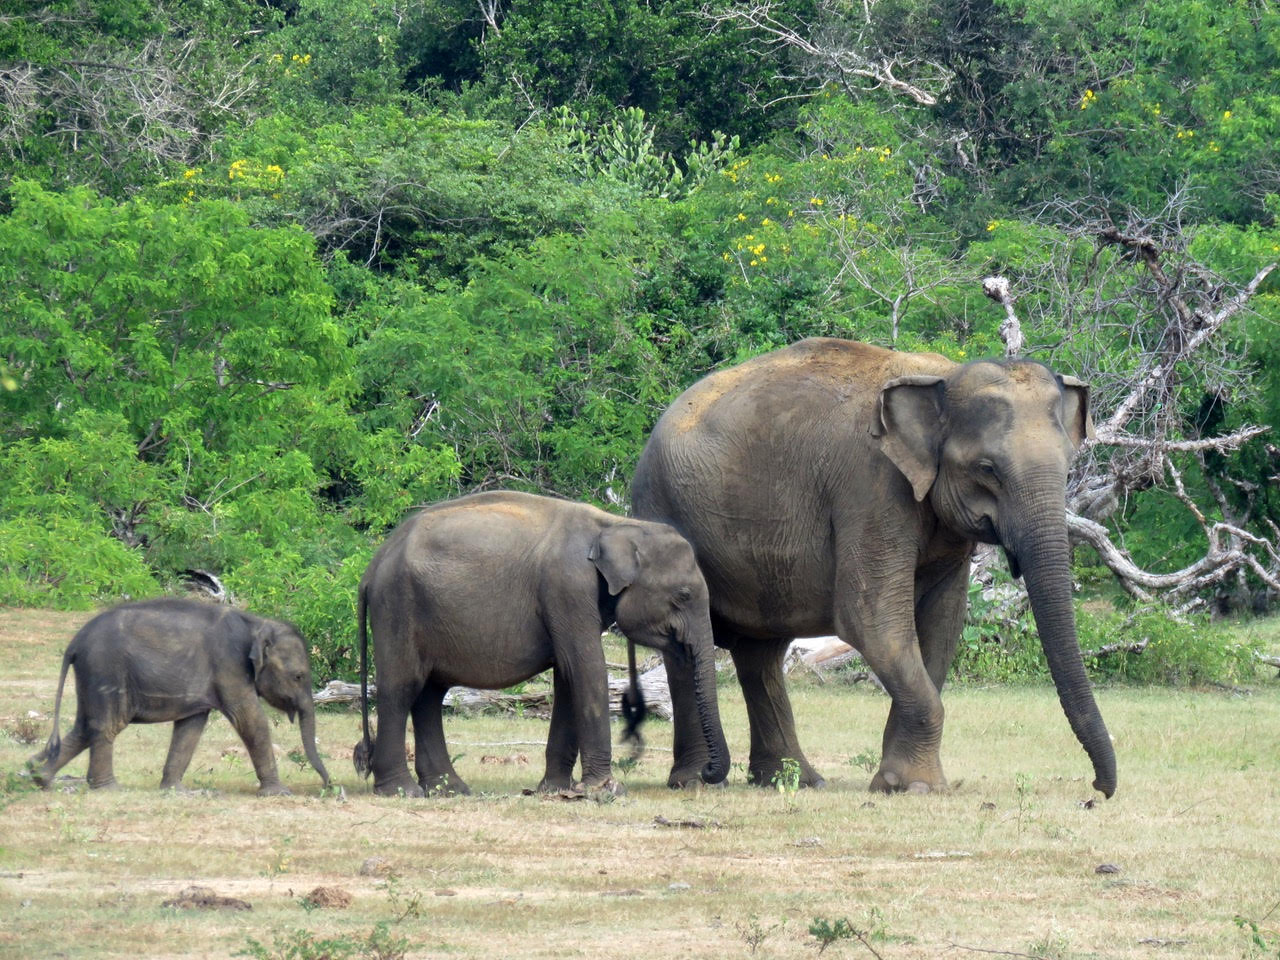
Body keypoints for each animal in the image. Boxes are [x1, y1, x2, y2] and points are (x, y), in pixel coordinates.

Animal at [30, 601, 332, 798]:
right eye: (299, 676)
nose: (328, 786)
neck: (256, 623)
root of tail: (74, 643)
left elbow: (190, 726)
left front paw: (175, 790)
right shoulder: (230, 667)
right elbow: (250, 719)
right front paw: (279, 793)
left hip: (91, 675)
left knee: (84, 727)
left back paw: (38, 775)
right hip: (105, 669)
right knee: (108, 725)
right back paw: (109, 789)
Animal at [350, 491, 732, 798]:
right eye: (682, 595)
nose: (707, 774)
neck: (616, 524)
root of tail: (371, 568)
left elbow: (567, 678)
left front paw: (555, 790)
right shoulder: (567, 588)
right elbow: (586, 669)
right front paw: (606, 790)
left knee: (429, 693)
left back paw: (449, 790)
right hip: (398, 607)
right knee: (402, 687)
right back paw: (402, 792)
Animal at [634, 335, 1116, 798]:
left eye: (1068, 468)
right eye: (987, 468)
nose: (1098, 789)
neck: (941, 377)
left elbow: (942, 626)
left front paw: (898, 783)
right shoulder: (871, 488)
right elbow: (872, 622)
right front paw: (919, 788)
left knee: (760, 653)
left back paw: (794, 781)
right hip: (663, 509)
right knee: (690, 644)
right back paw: (698, 781)